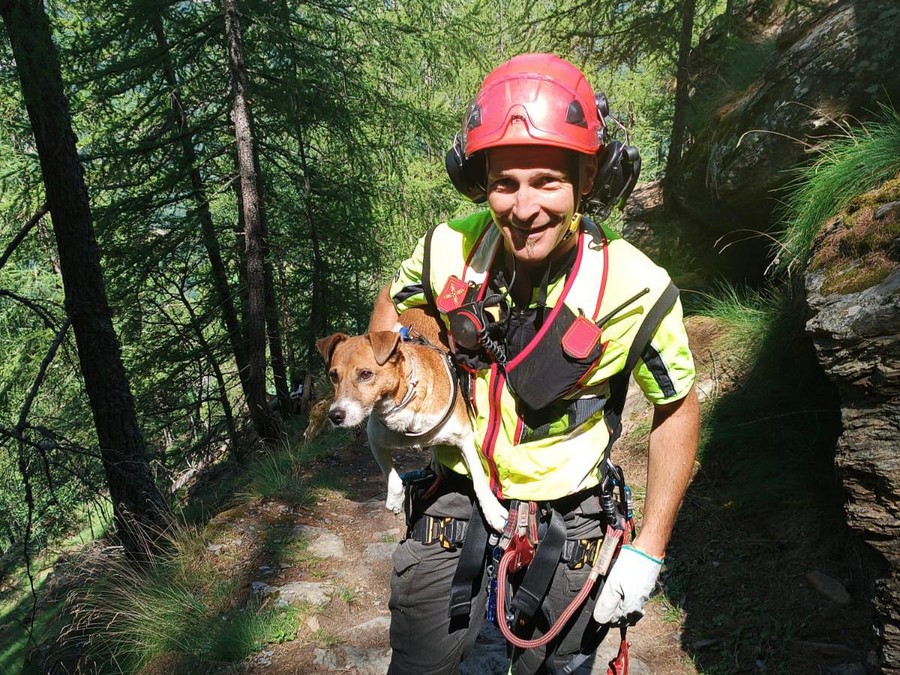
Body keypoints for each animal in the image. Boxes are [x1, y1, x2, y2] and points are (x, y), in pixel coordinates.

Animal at [320, 308, 510, 532]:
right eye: (333, 376)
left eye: (365, 374)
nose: (335, 415)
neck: (404, 401)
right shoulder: (375, 440)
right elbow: (392, 478)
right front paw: (395, 500)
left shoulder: (465, 438)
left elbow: (479, 478)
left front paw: (492, 511)